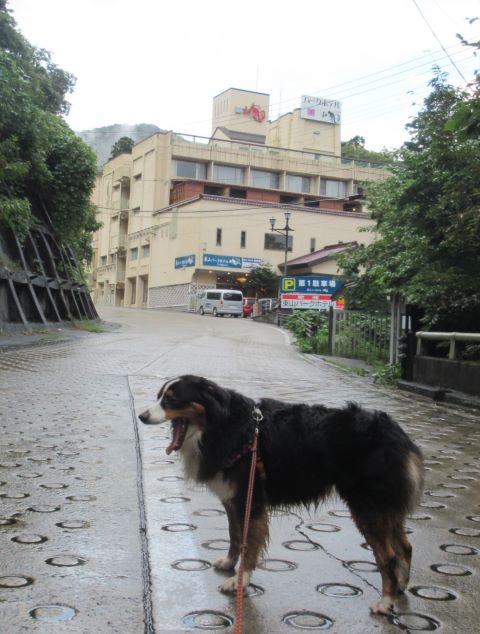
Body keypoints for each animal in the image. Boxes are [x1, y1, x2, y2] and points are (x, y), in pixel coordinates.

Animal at [139, 376, 424, 612]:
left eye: (171, 399)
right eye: (159, 396)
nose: (142, 415)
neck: (225, 426)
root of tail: (396, 432)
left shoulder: (250, 499)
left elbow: (248, 543)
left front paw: (240, 581)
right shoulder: (233, 499)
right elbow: (234, 536)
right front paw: (230, 563)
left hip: (366, 505)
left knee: (388, 555)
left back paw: (386, 601)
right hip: (383, 506)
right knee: (406, 546)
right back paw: (400, 586)